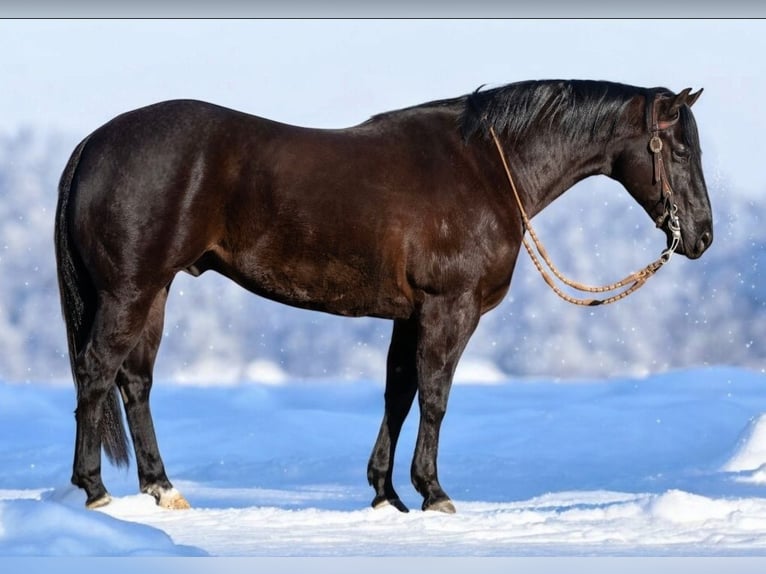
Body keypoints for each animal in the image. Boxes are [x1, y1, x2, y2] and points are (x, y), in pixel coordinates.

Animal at [54, 79, 713, 513]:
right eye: (680, 150)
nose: (703, 235)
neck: (484, 168)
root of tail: (93, 143)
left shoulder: (410, 315)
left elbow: (399, 394)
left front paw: (386, 492)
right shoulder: (450, 309)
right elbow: (435, 398)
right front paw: (433, 492)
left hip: (154, 293)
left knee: (134, 381)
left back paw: (161, 488)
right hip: (131, 290)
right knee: (97, 370)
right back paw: (95, 489)